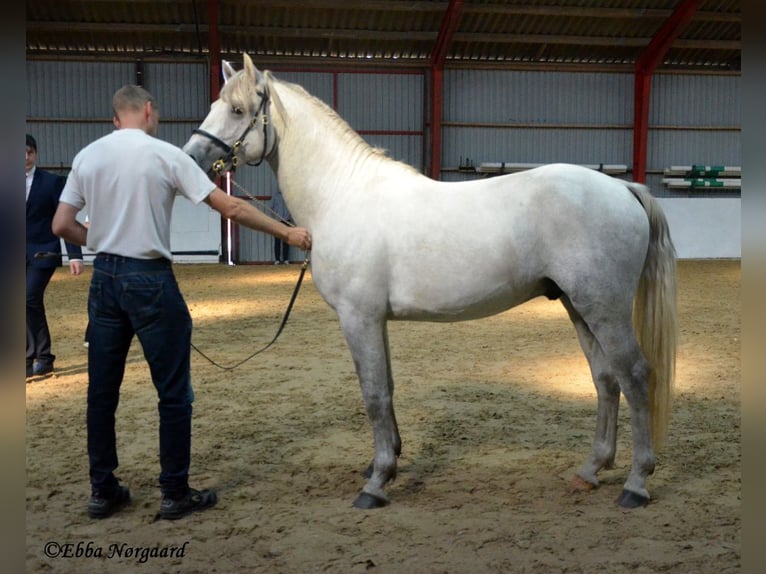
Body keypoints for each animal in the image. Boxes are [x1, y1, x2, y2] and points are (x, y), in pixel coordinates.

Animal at [184, 54, 680, 510]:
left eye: (237, 109)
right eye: (214, 104)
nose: (190, 158)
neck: (342, 195)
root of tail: (623, 189)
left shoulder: (358, 318)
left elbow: (374, 394)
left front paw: (376, 484)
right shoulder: (375, 320)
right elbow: (386, 389)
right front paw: (386, 463)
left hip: (603, 308)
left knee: (636, 376)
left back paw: (636, 483)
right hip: (579, 307)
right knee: (606, 379)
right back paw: (591, 470)